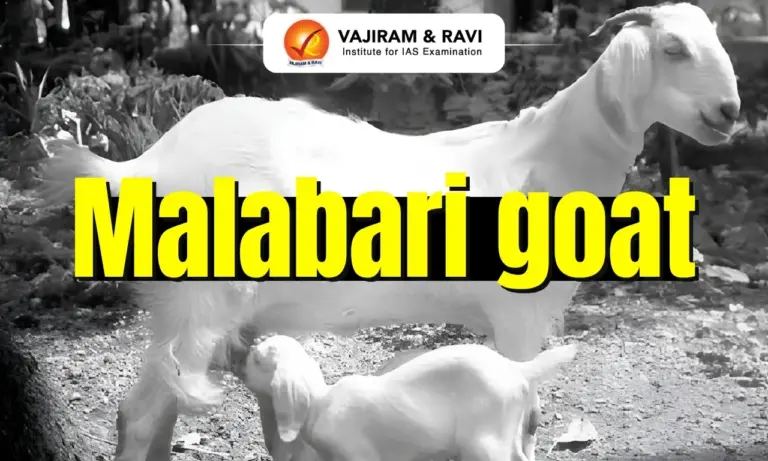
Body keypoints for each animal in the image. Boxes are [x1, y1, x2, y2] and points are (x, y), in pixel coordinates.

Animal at [242, 335, 578, 461]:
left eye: (257, 359)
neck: (319, 403)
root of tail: (517, 368)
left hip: (484, 440)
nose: (241, 354)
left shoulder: (358, 454)